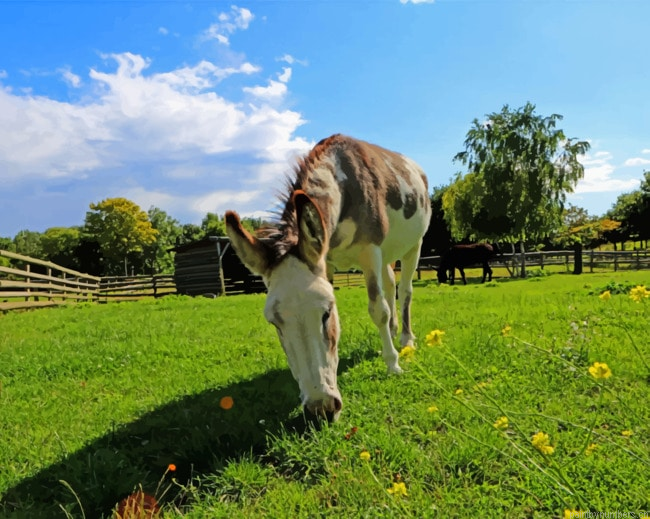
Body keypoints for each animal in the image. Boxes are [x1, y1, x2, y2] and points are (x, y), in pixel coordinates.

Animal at [225, 134, 431, 421]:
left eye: (326, 313)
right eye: (275, 324)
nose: (320, 410)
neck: (344, 184)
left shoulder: (370, 251)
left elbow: (378, 310)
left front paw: (393, 364)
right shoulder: (328, 262)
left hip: (414, 246)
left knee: (406, 291)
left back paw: (406, 339)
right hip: (388, 253)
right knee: (391, 286)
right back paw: (392, 331)